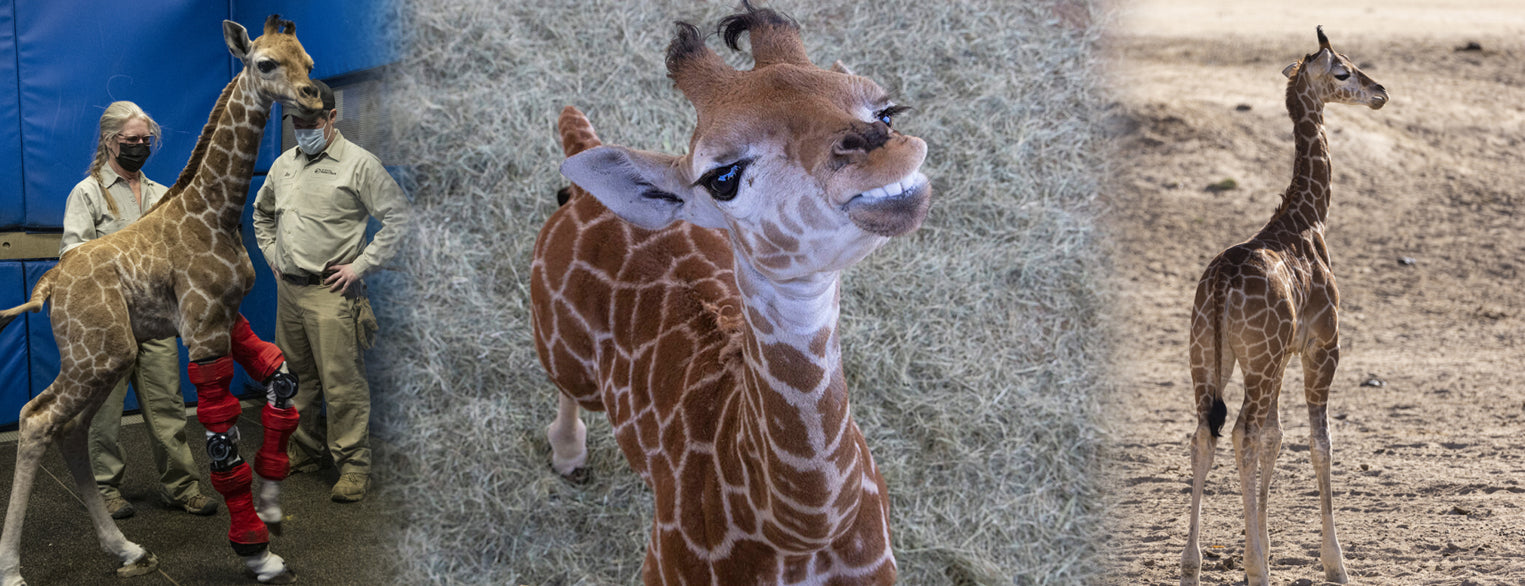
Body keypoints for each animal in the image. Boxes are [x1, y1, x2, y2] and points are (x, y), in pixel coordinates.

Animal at [0, 15, 323, 585]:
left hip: (106, 358)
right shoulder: (204, 329)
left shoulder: (225, 317)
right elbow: (223, 441)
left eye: (307, 61)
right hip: (99, 353)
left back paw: (127, 549)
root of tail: (48, 285)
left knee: (70, 429)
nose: (313, 96)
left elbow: (282, 383)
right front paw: (257, 553)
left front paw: (273, 509)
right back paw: (12, 569)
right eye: (265, 63)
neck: (216, 212)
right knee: (36, 418)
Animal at [530, 3, 930, 583]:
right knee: (566, 390)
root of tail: (581, 181)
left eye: (887, 114)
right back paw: (568, 458)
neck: (799, 527)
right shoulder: (660, 570)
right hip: (562, 352)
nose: (887, 155)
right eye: (723, 177)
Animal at [1180, 27, 1388, 586]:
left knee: (1206, 433)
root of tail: (1220, 286)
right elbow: (1320, 441)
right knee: (1241, 431)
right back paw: (1253, 569)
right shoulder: (1322, 346)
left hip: (1209, 356)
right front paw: (1335, 563)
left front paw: (1268, 546)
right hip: (1259, 358)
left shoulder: (1285, 354)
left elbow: (1276, 437)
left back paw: (1193, 563)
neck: (1309, 217)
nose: (1380, 92)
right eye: (1343, 71)